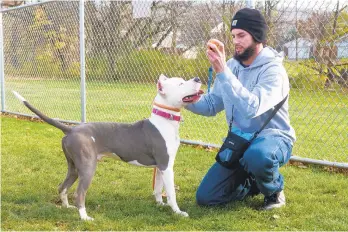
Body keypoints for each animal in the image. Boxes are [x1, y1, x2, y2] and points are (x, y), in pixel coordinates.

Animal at [13, 75, 203, 221]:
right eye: (180, 83)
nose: (197, 78)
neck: (164, 120)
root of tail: (71, 129)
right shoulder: (167, 166)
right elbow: (171, 192)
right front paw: (178, 212)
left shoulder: (160, 167)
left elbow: (158, 188)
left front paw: (159, 204)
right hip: (88, 167)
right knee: (79, 193)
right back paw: (84, 217)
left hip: (73, 167)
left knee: (62, 186)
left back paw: (68, 208)